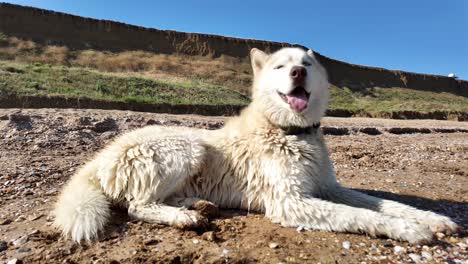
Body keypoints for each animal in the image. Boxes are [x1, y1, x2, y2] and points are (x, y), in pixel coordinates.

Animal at [54, 47, 458, 243]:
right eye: (281, 67)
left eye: (307, 63)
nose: (298, 72)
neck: (289, 129)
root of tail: (97, 159)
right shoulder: (290, 202)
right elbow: (361, 216)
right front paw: (409, 231)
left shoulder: (328, 187)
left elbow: (384, 203)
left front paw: (434, 219)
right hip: (186, 146)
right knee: (138, 206)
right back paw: (185, 217)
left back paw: (196, 204)